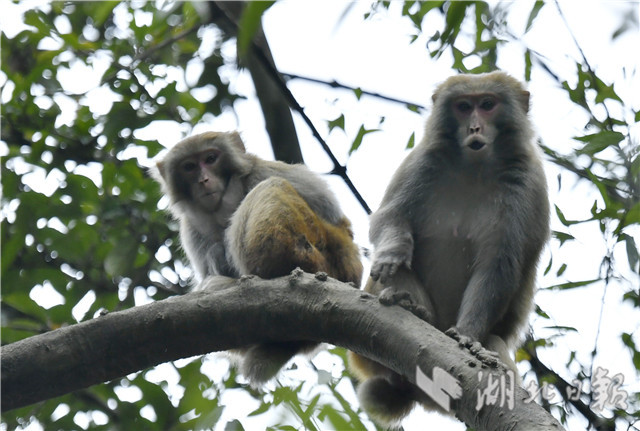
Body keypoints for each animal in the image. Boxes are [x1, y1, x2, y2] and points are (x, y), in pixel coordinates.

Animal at [149, 131, 360, 384]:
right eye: (189, 167)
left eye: (210, 159)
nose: (204, 180)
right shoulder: (190, 227)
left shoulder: (263, 172)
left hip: (317, 249)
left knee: (270, 188)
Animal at [348, 71, 552, 428]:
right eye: (463, 107)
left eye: (487, 104)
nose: (474, 128)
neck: (475, 166)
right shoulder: (423, 161)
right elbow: (391, 219)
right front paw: (392, 254)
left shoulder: (524, 182)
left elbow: (498, 266)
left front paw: (467, 336)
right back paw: (414, 309)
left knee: (495, 341)